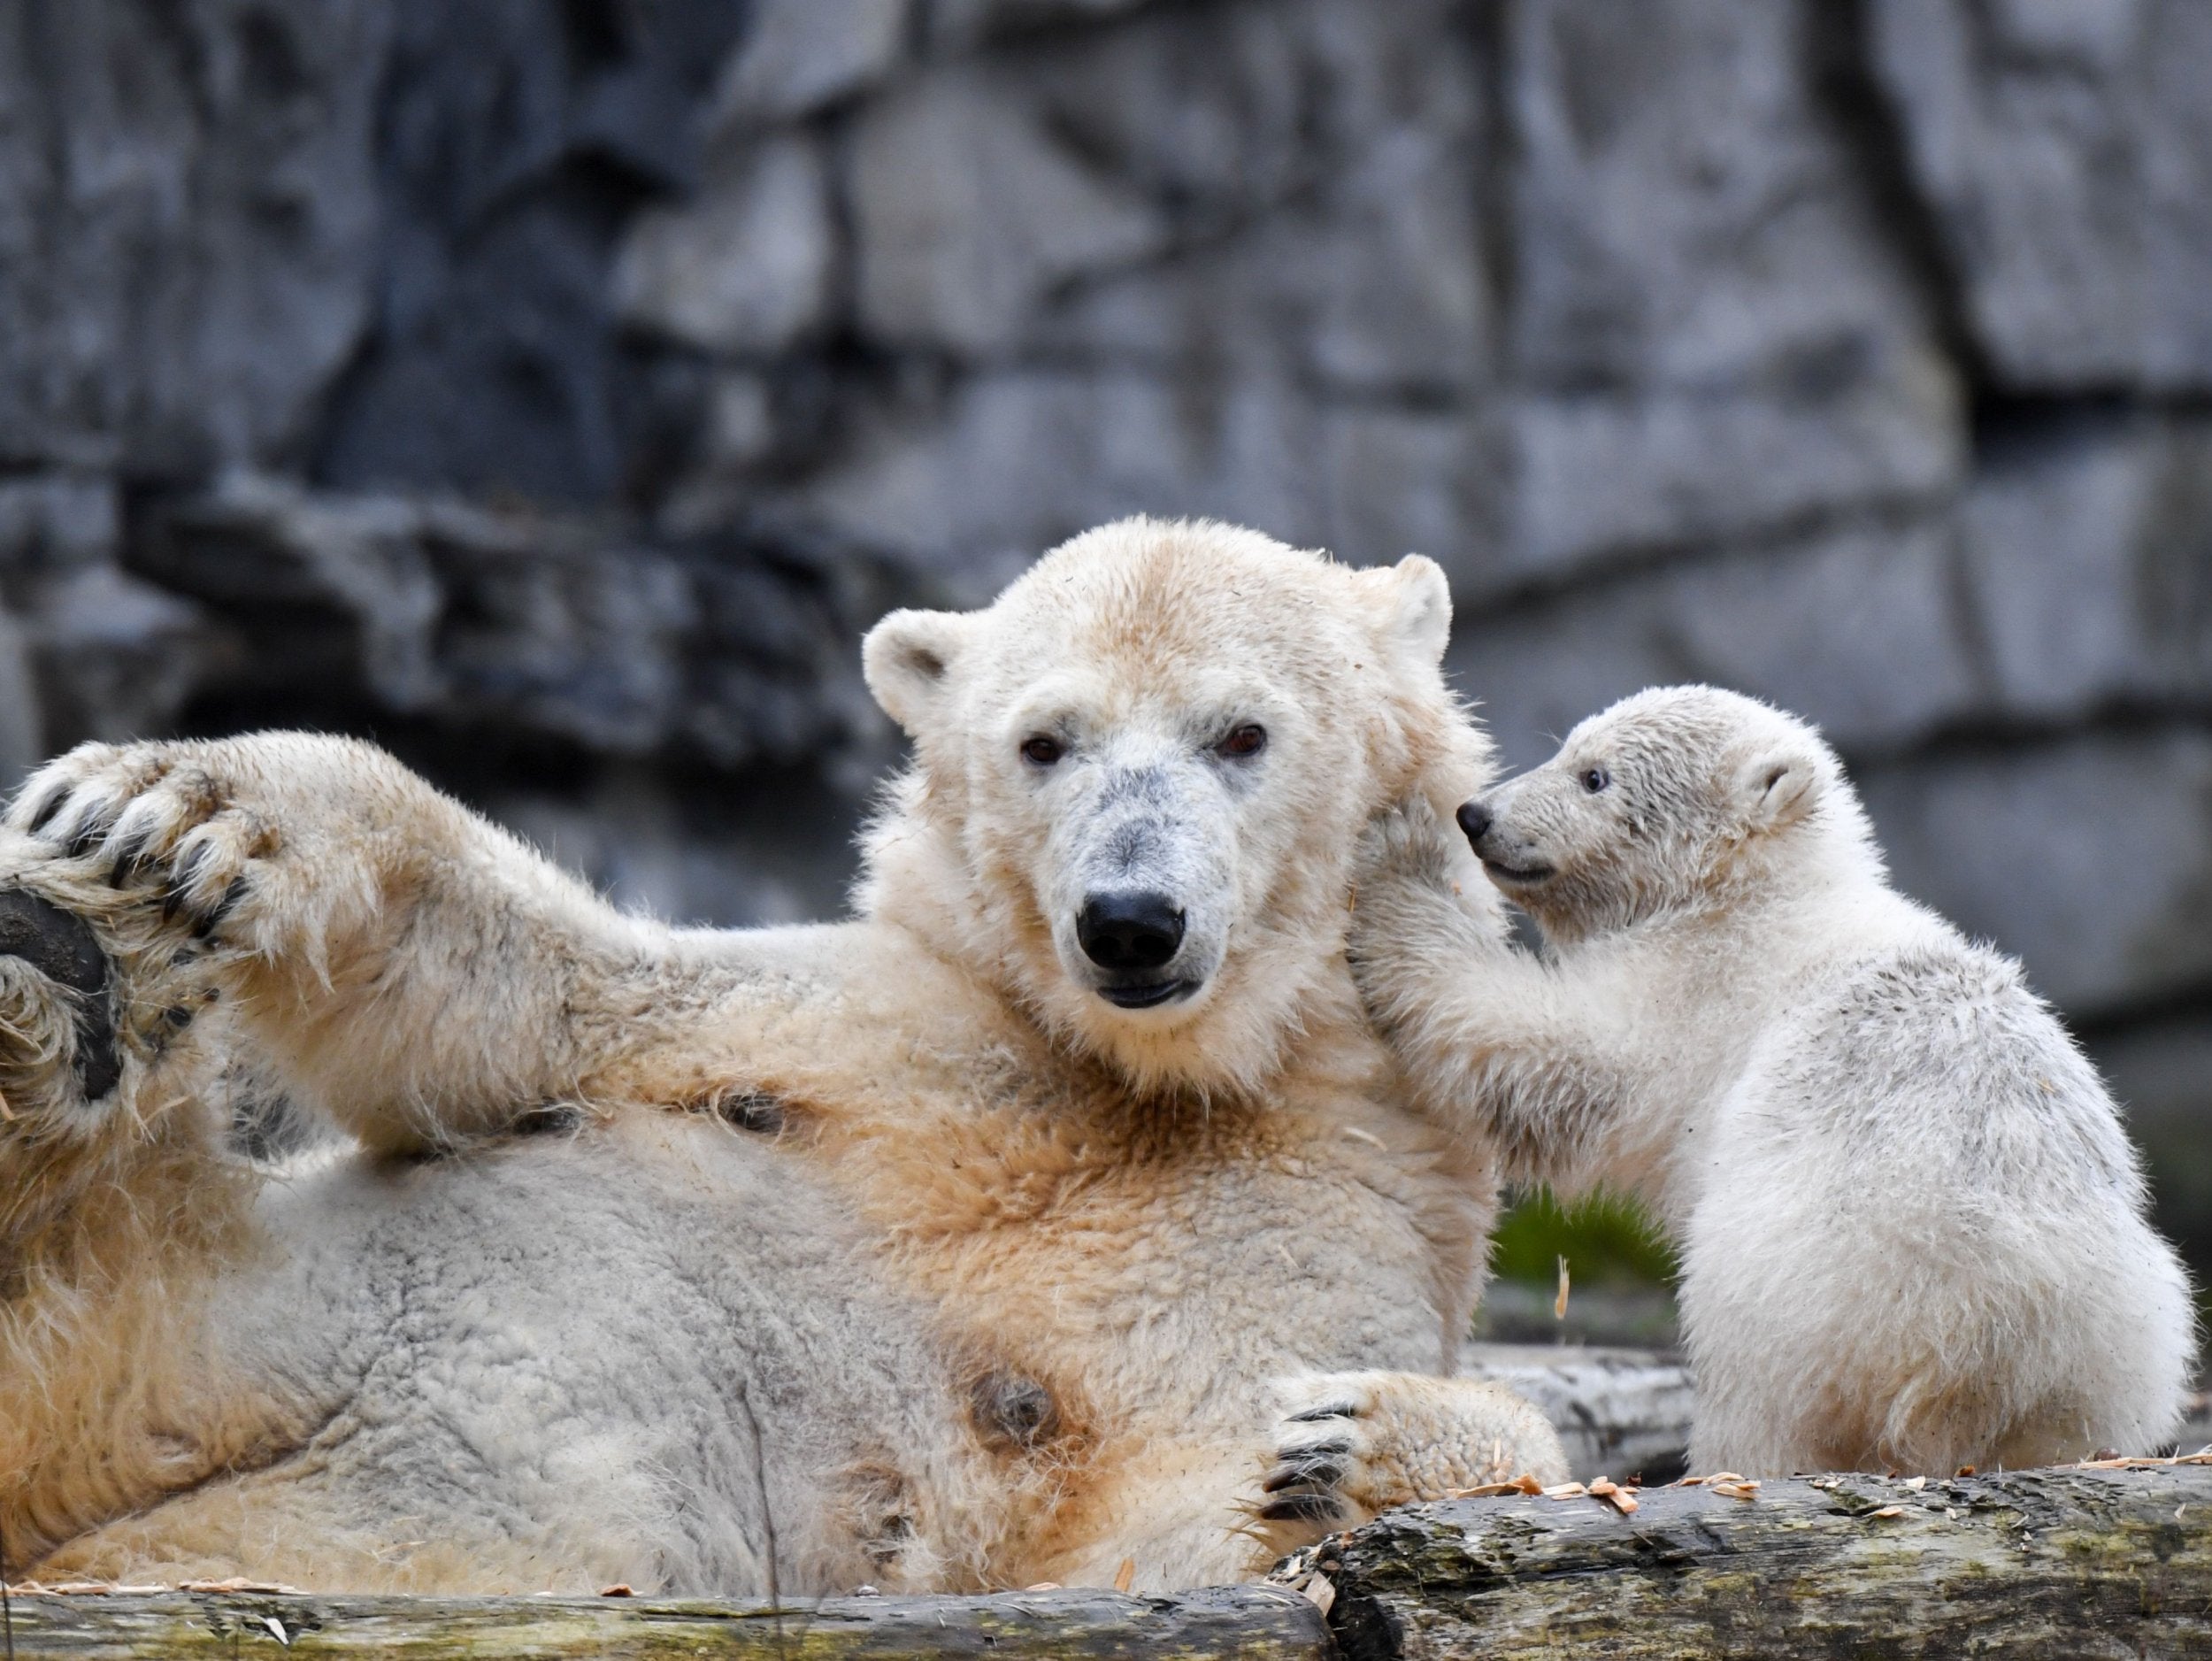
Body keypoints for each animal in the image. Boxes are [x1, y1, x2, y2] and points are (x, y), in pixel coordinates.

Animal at [0, 517, 1568, 1595]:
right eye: (1044, 741)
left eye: (1242, 733)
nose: (1129, 920)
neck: (1156, 1077)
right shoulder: (869, 1024)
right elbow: (508, 1005)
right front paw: (173, 804)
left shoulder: (1333, 1205)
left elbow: (1180, 1524)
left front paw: (1352, 1437)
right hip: (255, 1311)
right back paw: (83, 958)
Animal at [1348, 684, 2196, 1477]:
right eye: (1568, 748)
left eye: (1595, 775)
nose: (1476, 814)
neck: (1764, 889)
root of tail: (1993, 1334)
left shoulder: (1700, 987)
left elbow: (1552, 1050)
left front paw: (1397, 856)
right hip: (2128, 1326)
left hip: (1797, 1272)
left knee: (1758, 1382)